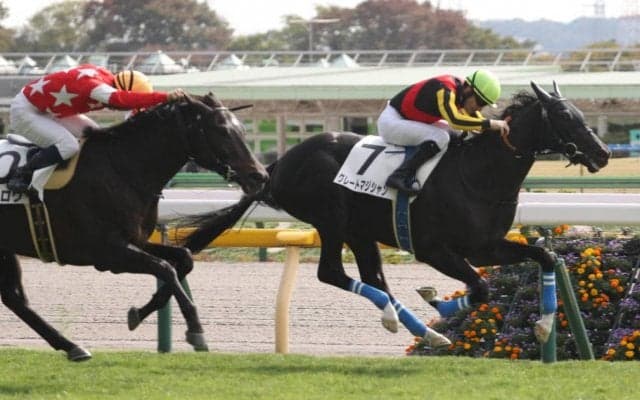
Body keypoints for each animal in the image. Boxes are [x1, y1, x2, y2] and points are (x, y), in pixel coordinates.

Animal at [0, 93, 268, 361]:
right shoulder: (108, 253)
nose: (260, 176)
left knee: (13, 298)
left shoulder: (135, 242)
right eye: (221, 130)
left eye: (242, 130)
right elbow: (165, 269)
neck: (122, 169)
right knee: (14, 298)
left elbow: (183, 258)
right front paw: (196, 329)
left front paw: (139, 313)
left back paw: (72, 347)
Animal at [182, 82, 610, 348]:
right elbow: (480, 289)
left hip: (359, 230)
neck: (478, 174)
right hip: (331, 219)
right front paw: (439, 302)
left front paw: (543, 325)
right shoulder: (435, 250)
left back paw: (418, 329)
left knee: (375, 278)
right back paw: (407, 322)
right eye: (565, 117)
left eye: (580, 113)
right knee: (332, 273)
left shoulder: (486, 246)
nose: (603, 153)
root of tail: (277, 165)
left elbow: (544, 256)